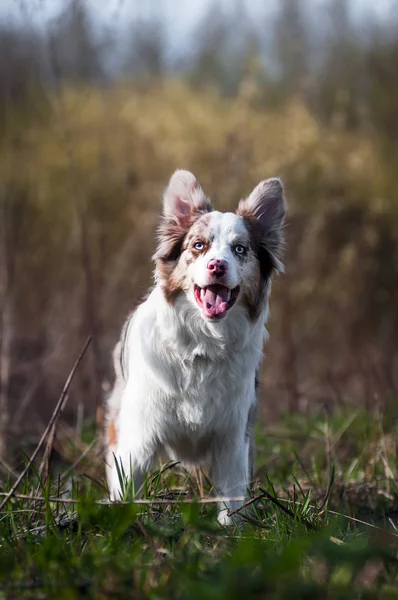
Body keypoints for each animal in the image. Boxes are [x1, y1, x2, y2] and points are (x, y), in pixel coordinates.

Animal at [105, 170, 286, 524]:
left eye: (240, 249)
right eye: (198, 246)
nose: (217, 265)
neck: (203, 346)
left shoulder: (234, 435)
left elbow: (232, 494)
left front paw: (230, 529)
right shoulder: (138, 432)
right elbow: (127, 482)